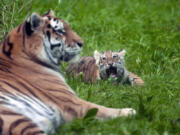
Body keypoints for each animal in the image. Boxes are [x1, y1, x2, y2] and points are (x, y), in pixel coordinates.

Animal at [0, 10, 135, 134]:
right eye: (60, 31)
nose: (81, 43)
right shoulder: (72, 102)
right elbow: (102, 108)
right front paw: (129, 111)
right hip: (20, 122)